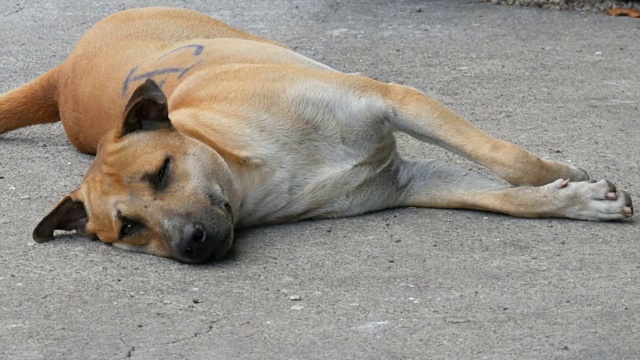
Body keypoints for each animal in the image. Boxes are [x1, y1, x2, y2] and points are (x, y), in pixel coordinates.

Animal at [0, 7, 632, 262]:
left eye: (161, 171)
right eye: (128, 228)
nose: (191, 245)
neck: (253, 168)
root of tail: (64, 74)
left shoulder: (394, 100)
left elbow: (511, 161)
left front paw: (564, 176)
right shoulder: (411, 182)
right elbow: (507, 199)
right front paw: (576, 200)